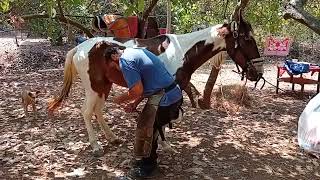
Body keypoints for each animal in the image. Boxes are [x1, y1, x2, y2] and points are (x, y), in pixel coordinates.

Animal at [47, 10, 262, 156]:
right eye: (247, 39)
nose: (257, 73)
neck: (182, 51)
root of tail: (80, 47)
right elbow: (163, 117)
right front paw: (163, 145)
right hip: (94, 87)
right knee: (86, 111)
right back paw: (95, 145)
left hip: (104, 87)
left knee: (97, 111)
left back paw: (112, 138)